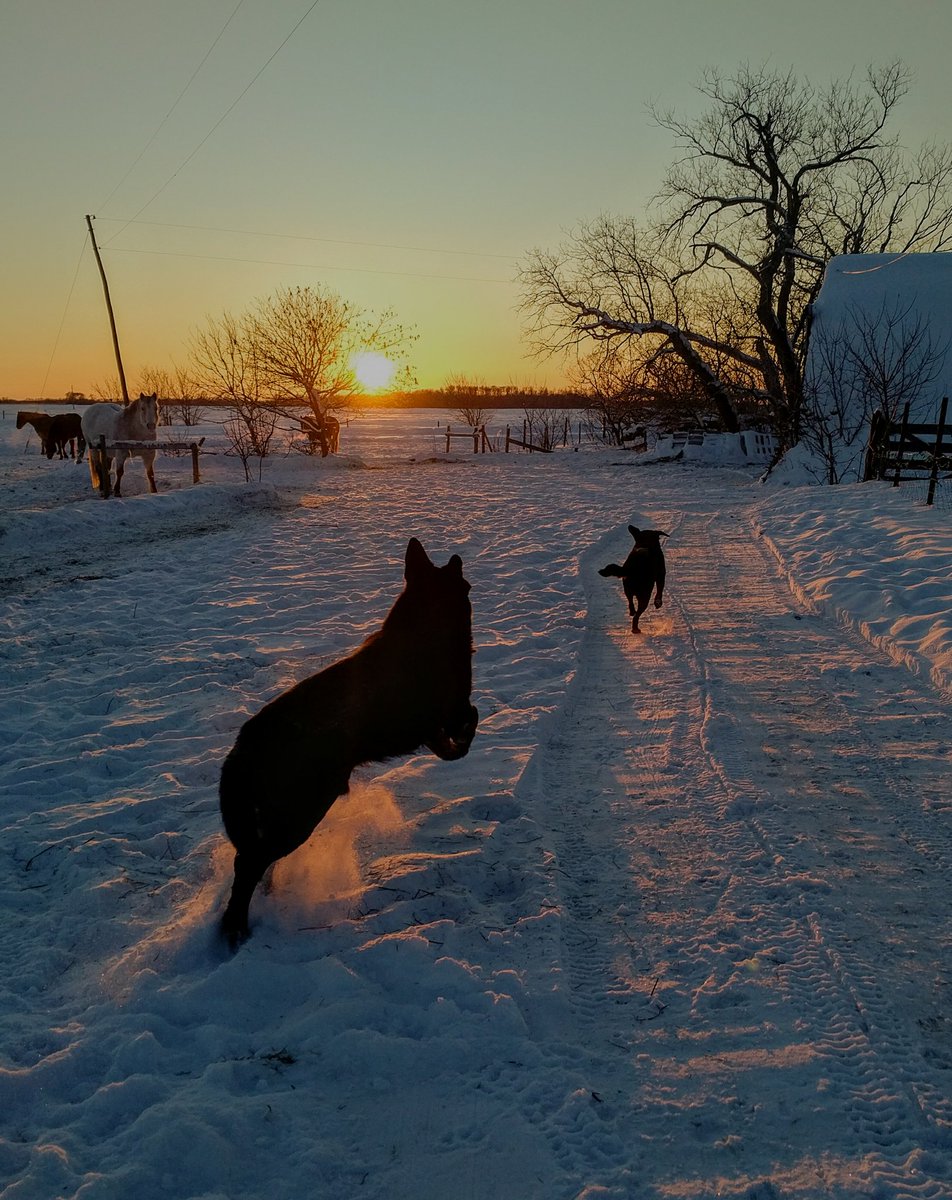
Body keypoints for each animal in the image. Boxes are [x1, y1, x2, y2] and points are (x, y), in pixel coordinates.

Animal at [218, 537, 479, 947]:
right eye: (463, 585)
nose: (459, 559)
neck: (425, 627)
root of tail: (243, 746)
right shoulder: (450, 714)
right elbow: (470, 722)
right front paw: (463, 743)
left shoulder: (435, 727)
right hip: (301, 814)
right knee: (247, 863)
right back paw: (235, 927)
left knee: (253, 859)